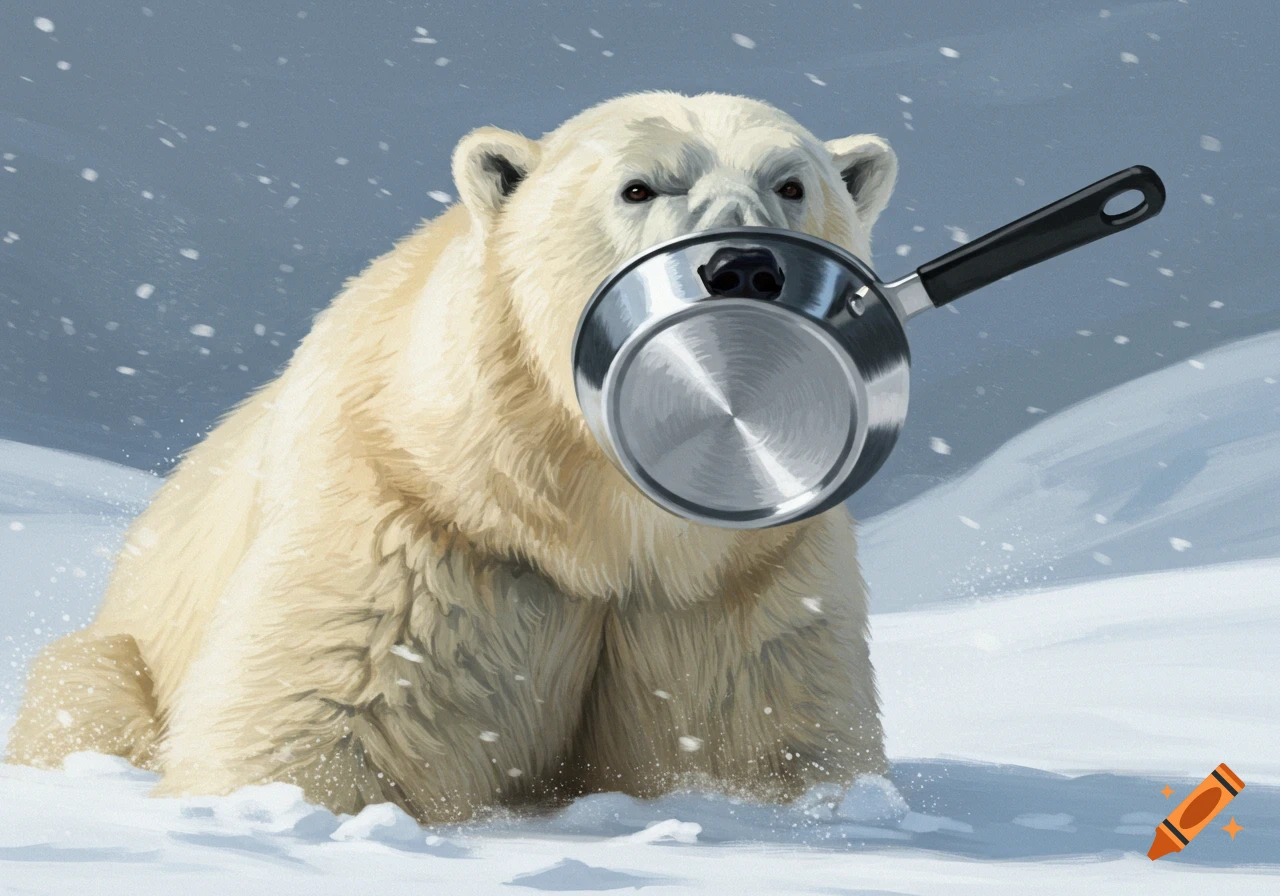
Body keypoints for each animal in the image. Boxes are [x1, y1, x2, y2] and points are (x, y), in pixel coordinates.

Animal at [7, 91, 899, 823]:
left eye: (792, 184)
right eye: (640, 187)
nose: (744, 266)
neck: (591, 524)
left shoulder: (740, 581)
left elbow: (759, 730)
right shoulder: (415, 522)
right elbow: (322, 720)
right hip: (115, 655)